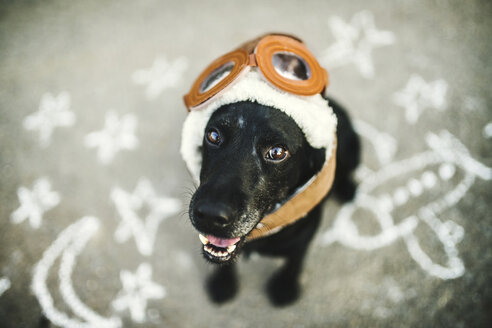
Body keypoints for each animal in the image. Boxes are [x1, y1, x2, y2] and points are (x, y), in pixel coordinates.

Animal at [186, 96, 360, 306]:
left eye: (277, 152)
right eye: (213, 135)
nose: (210, 214)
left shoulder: (306, 232)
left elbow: (295, 259)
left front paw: (285, 287)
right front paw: (223, 283)